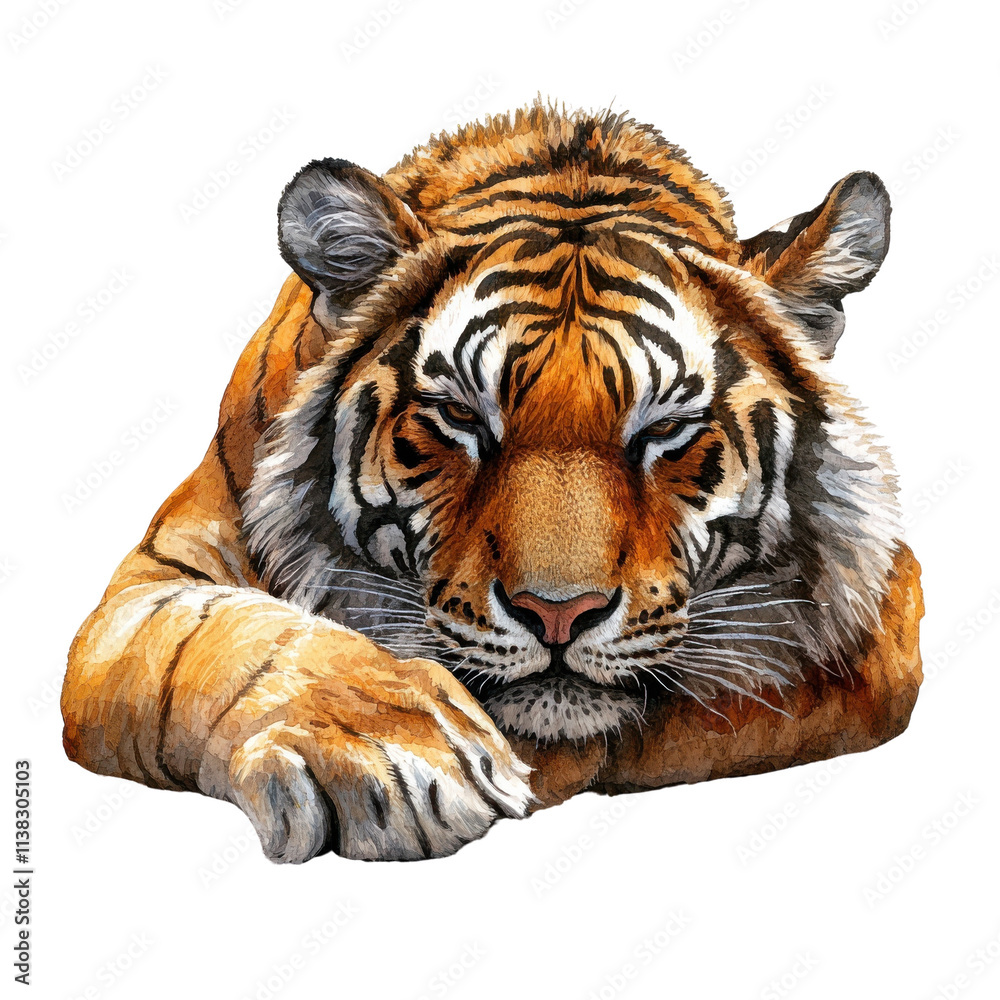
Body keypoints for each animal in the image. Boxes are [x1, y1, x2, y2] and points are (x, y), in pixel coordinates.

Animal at [62, 102, 923, 863]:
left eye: (664, 430)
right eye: (459, 417)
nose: (558, 614)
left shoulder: (880, 609)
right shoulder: (155, 576)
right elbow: (236, 638)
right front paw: (393, 757)